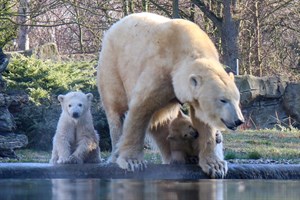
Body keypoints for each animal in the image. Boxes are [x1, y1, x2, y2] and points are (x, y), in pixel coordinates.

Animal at [98, 12, 244, 178]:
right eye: (223, 100)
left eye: (237, 100)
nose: (238, 120)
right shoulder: (160, 70)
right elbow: (140, 109)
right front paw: (133, 162)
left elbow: (202, 120)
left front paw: (216, 166)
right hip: (112, 63)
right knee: (116, 108)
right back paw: (115, 154)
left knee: (162, 123)